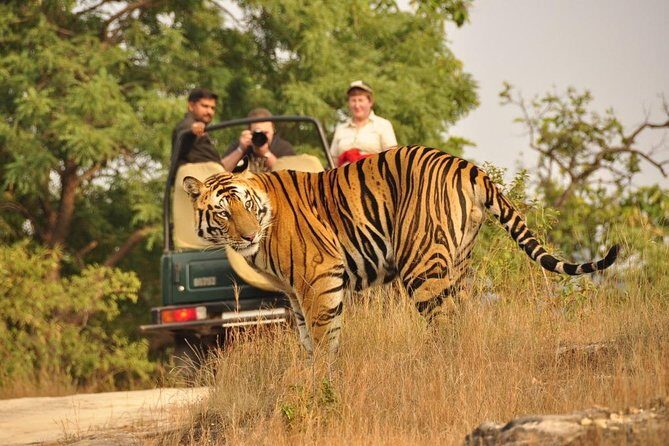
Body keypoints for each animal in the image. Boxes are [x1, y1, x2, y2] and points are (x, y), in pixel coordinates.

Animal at [183, 145, 619, 356]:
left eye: (246, 204)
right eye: (223, 212)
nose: (247, 236)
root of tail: (467, 166)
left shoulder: (319, 279)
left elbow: (324, 340)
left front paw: (323, 386)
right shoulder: (295, 294)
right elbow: (309, 340)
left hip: (421, 265)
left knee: (445, 324)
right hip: (457, 263)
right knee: (463, 318)